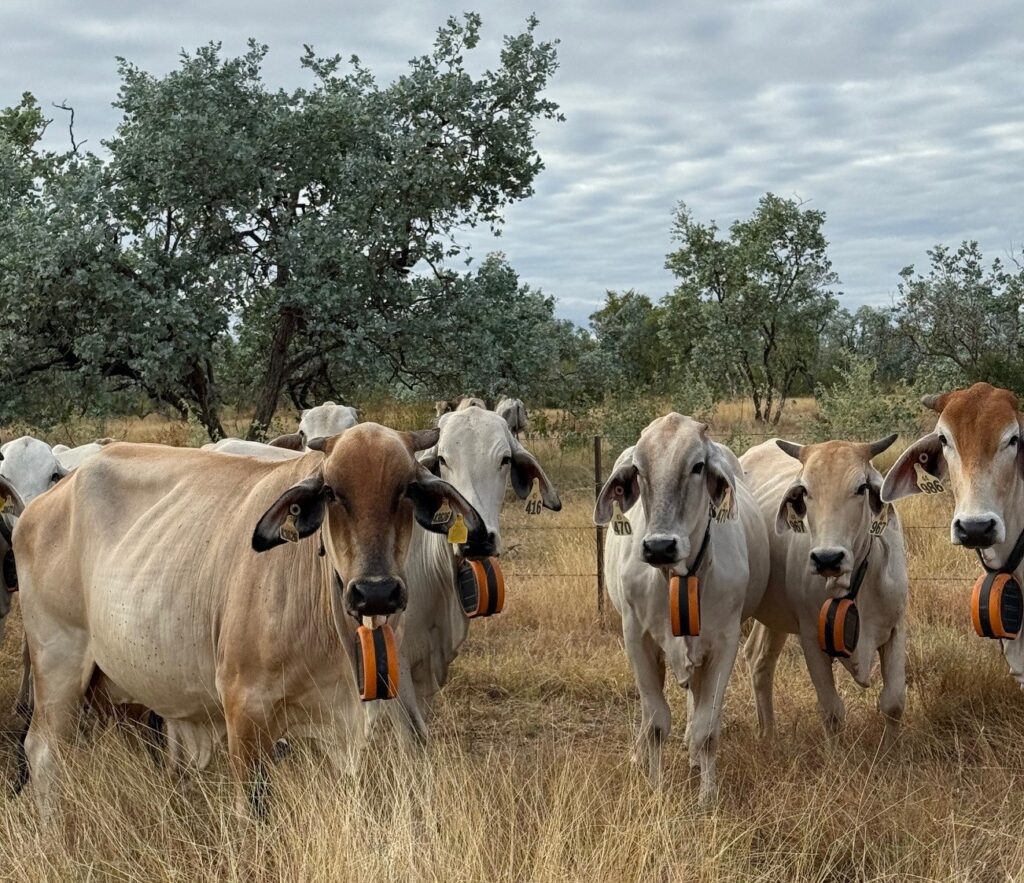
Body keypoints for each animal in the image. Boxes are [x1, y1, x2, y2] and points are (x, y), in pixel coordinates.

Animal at [16, 423, 490, 821]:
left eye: (408, 488)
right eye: (331, 491)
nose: (375, 592)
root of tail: (42, 504)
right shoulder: (244, 710)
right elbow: (255, 811)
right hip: (58, 664)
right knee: (43, 753)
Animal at [594, 413, 769, 803]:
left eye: (698, 466)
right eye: (638, 469)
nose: (659, 546)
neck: (680, 575)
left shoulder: (724, 643)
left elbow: (707, 728)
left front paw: (707, 796)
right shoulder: (637, 639)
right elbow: (656, 721)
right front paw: (655, 788)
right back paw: (639, 754)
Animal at [741, 436, 908, 745]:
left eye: (861, 487)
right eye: (804, 490)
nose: (827, 558)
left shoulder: (896, 628)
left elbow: (893, 702)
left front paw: (892, 750)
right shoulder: (810, 637)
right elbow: (832, 712)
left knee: (759, 660)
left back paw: (768, 734)